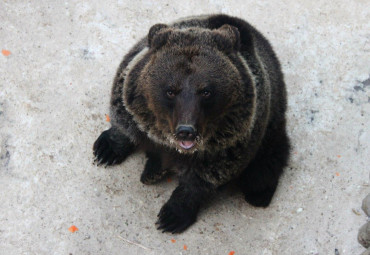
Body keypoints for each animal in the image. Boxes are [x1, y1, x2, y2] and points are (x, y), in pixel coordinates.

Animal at [92, 13, 290, 233]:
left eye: (206, 91)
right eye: (170, 90)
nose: (186, 130)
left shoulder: (234, 140)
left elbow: (202, 180)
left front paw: (173, 215)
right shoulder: (131, 86)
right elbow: (123, 117)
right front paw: (106, 150)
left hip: (272, 126)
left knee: (263, 168)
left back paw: (259, 194)